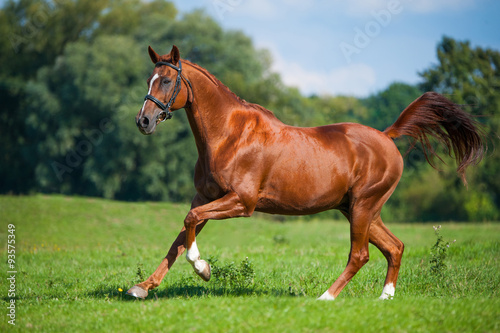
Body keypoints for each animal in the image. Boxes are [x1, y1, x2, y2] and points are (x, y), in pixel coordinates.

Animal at [128, 43, 484, 298]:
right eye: (149, 80)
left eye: (168, 80)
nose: (143, 121)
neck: (229, 135)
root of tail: (386, 137)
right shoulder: (203, 197)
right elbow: (179, 239)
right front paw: (142, 288)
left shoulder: (241, 202)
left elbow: (189, 225)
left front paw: (203, 269)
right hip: (359, 210)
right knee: (394, 247)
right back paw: (385, 298)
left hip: (363, 208)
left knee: (360, 255)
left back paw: (326, 298)